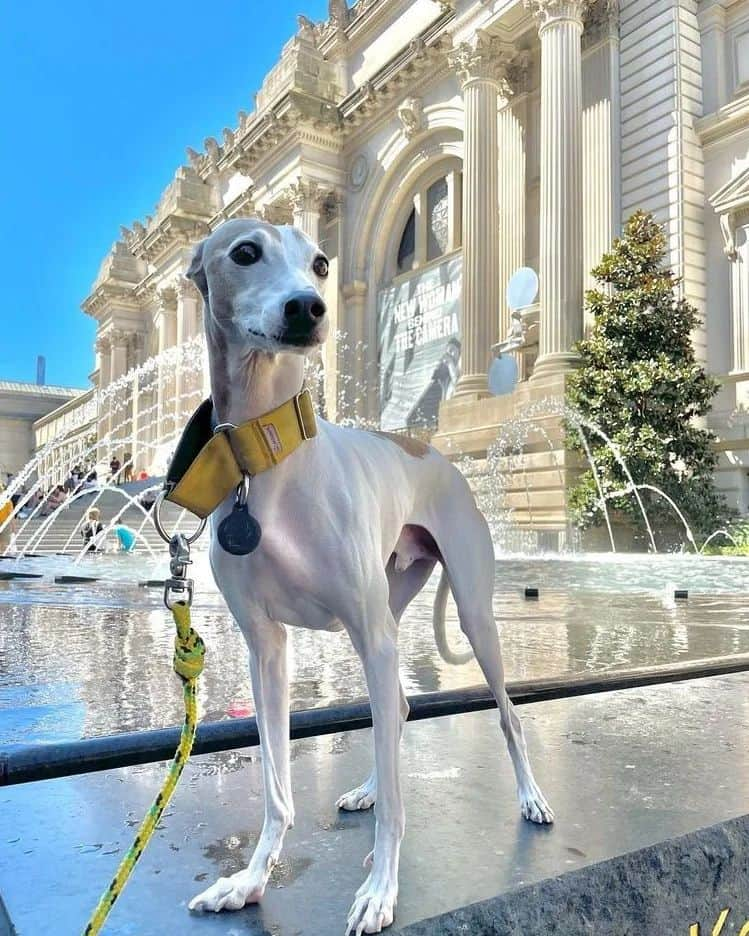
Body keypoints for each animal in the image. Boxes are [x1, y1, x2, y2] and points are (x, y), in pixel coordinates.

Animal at [184, 218, 552, 928]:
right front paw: (250, 880)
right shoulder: (266, 648)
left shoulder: (371, 636)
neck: (271, 460)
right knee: (398, 708)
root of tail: (427, 448)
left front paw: (381, 889)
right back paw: (370, 789)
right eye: (245, 252)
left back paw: (531, 798)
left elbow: (401, 811)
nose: (309, 309)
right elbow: (275, 789)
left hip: (468, 616)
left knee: (506, 717)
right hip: (389, 611)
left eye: (321, 263)